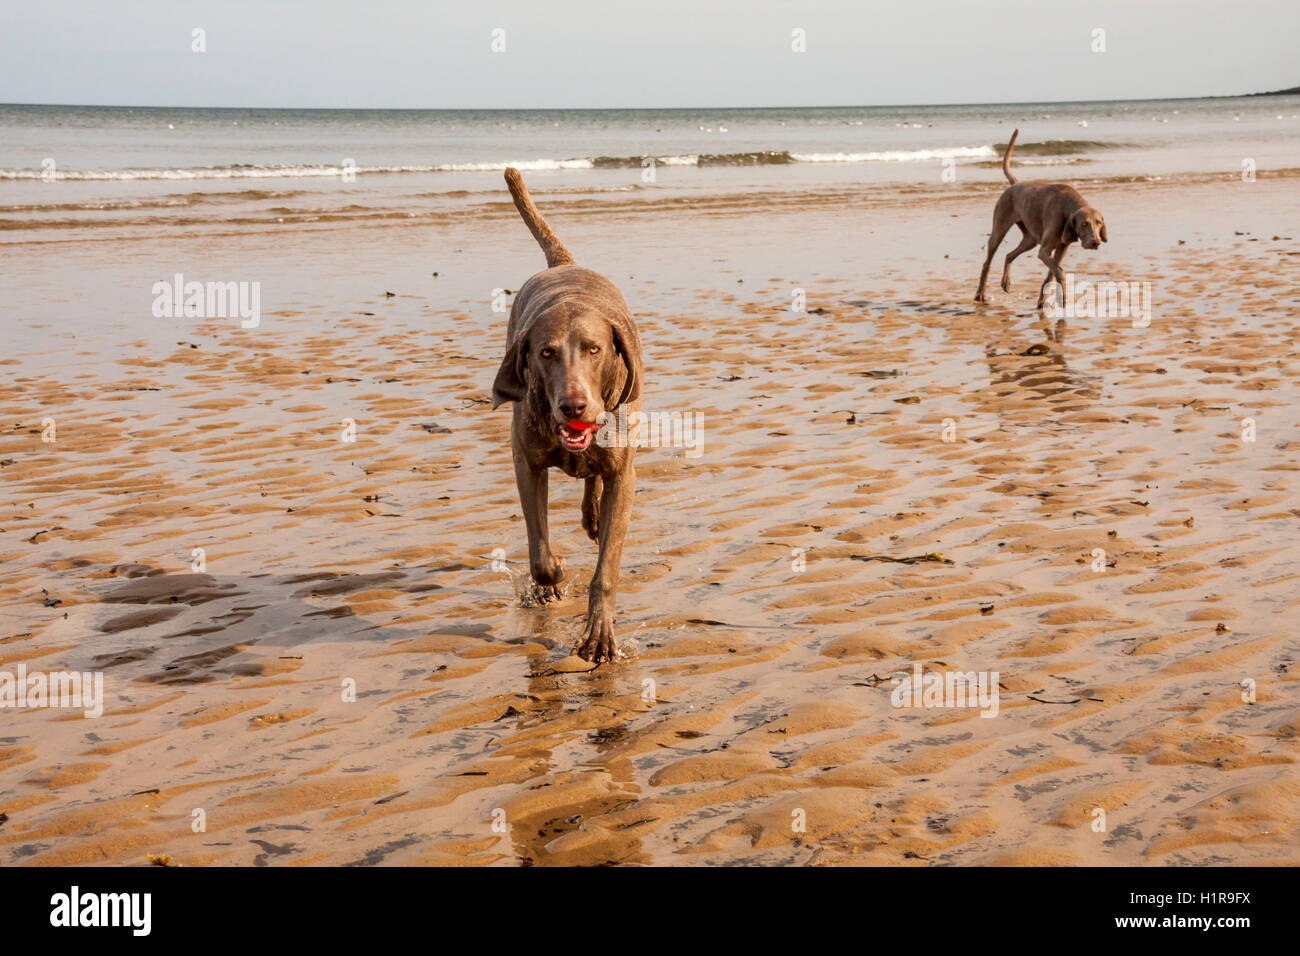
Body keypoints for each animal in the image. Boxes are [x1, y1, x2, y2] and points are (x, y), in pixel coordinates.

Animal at [488, 167, 642, 665]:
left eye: (594, 350)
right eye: (546, 353)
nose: (573, 406)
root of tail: (563, 263)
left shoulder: (624, 475)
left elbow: (607, 567)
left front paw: (599, 636)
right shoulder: (526, 462)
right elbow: (539, 553)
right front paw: (550, 577)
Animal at [977, 128, 1107, 308]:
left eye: (1099, 223)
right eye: (1083, 224)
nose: (1096, 242)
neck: (1068, 207)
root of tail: (1015, 184)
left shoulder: (1061, 248)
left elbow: (1051, 274)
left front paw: (1042, 300)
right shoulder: (1044, 251)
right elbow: (1059, 271)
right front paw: (1062, 299)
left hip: (1030, 239)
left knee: (1009, 255)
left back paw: (1006, 282)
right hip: (999, 229)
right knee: (987, 262)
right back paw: (980, 294)